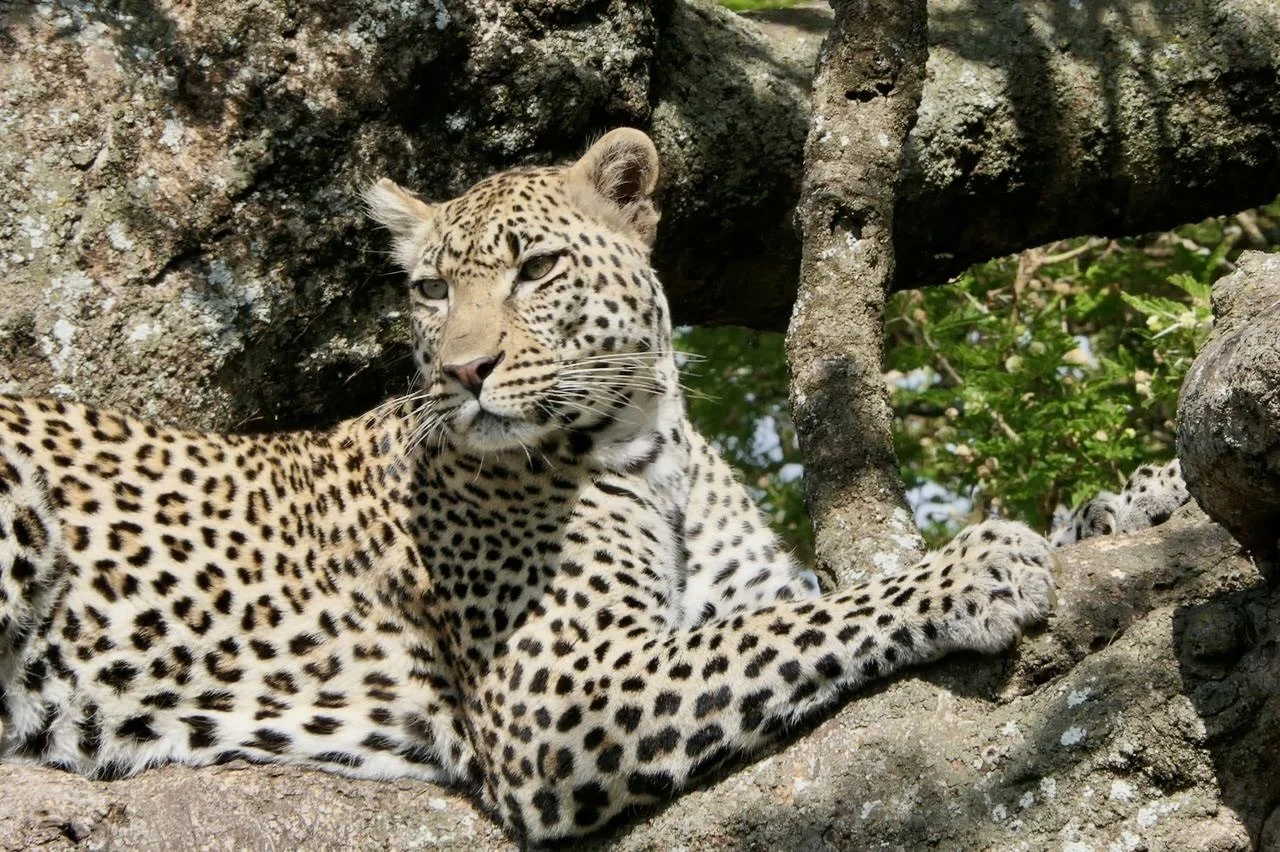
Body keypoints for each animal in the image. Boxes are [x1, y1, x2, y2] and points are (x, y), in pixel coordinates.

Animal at [0, 128, 1059, 843]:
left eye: (538, 268)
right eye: (431, 290)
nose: (465, 370)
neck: (649, 448)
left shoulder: (734, 589)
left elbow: (790, 606)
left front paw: (1096, 512)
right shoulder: (558, 690)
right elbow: (794, 626)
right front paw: (975, 567)